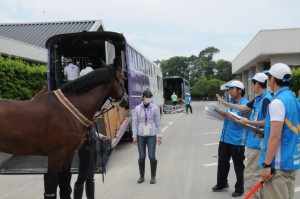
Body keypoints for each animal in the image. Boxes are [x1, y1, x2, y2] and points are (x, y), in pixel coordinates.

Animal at [0, 64, 127, 199]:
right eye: (122, 79)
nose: (126, 100)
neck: (67, 110)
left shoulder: (69, 152)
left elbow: (65, 184)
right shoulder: (56, 154)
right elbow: (51, 186)